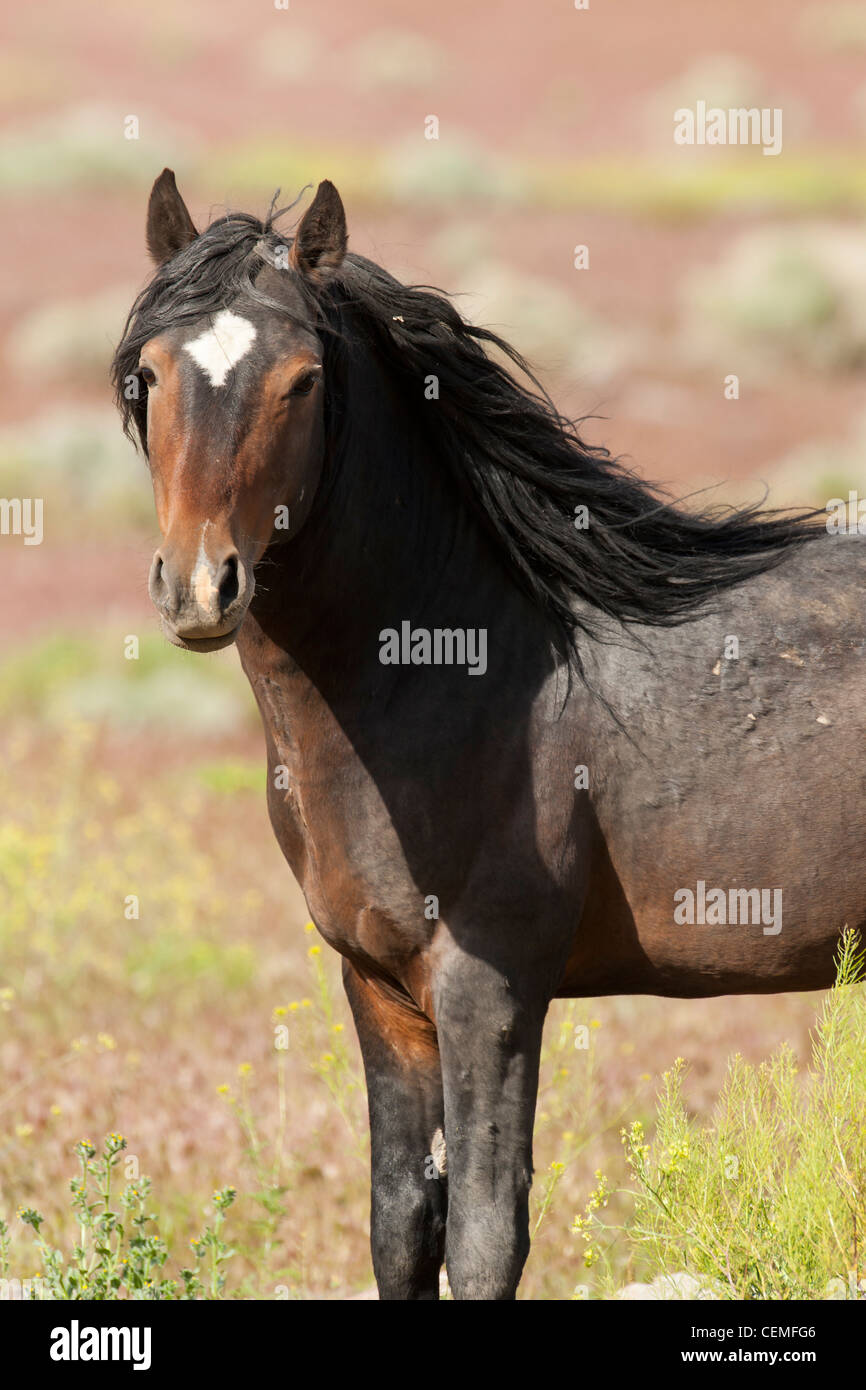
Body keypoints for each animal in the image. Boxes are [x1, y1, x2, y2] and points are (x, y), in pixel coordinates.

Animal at [112, 170, 866, 1300]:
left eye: (301, 380)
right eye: (149, 377)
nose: (200, 586)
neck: (462, 665)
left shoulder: (490, 989)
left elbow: (481, 1236)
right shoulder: (381, 992)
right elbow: (399, 1227)